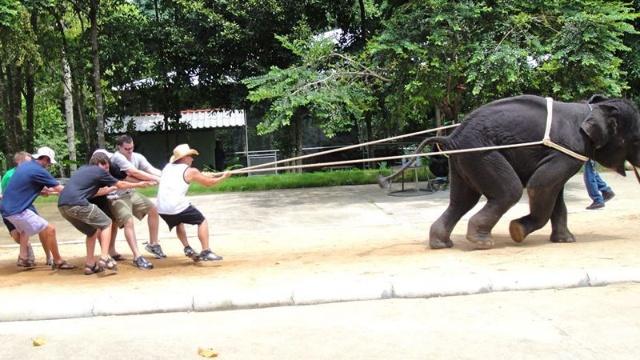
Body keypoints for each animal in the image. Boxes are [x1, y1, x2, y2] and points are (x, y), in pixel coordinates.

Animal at [380, 94, 640, 249]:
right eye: (635, 140)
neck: (590, 107)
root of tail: (451, 136)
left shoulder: (566, 155)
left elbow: (554, 193)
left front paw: (566, 241)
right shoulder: (567, 152)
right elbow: (540, 185)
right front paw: (517, 232)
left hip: (464, 159)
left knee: (462, 200)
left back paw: (443, 244)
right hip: (482, 153)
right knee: (509, 192)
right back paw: (482, 243)